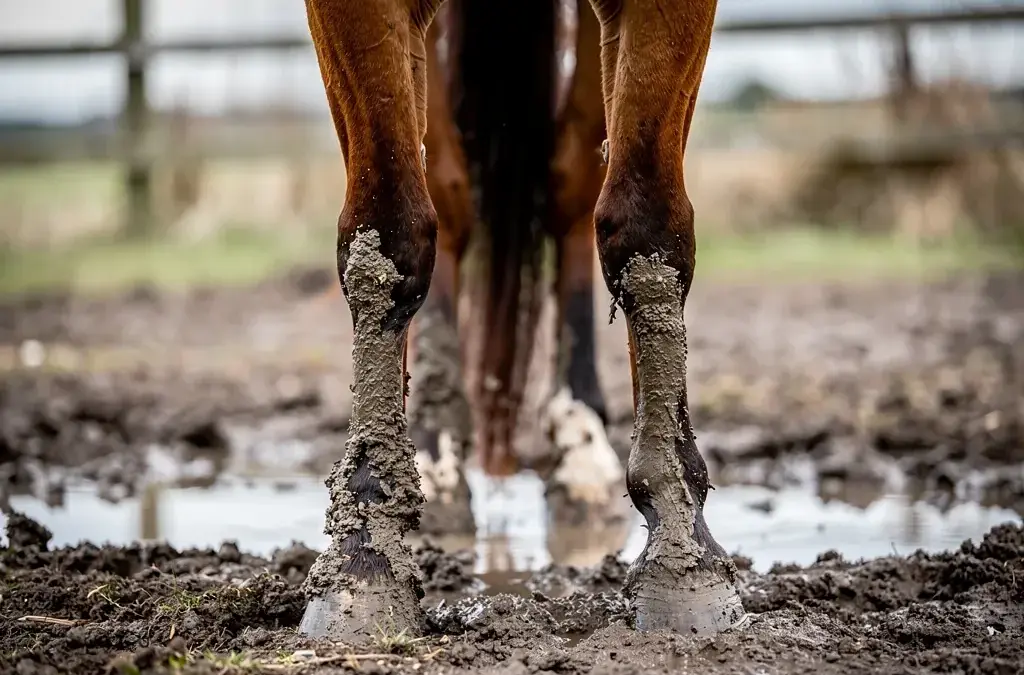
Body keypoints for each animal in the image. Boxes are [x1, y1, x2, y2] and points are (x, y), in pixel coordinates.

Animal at [298, 0, 744, 642]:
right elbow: (388, 232)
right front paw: (363, 554)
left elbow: (647, 229)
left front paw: (684, 553)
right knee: (450, 191)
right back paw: (436, 451)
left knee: (573, 182)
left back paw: (581, 445)